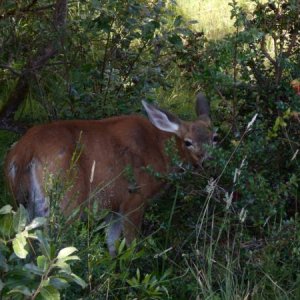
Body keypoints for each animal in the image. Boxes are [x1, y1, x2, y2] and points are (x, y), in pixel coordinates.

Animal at [4, 93, 213, 255]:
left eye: (215, 138)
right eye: (188, 142)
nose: (204, 161)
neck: (159, 150)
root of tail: (24, 151)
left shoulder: (114, 206)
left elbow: (112, 244)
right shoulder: (134, 199)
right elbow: (130, 245)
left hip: (25, 203)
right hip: (66, 198)